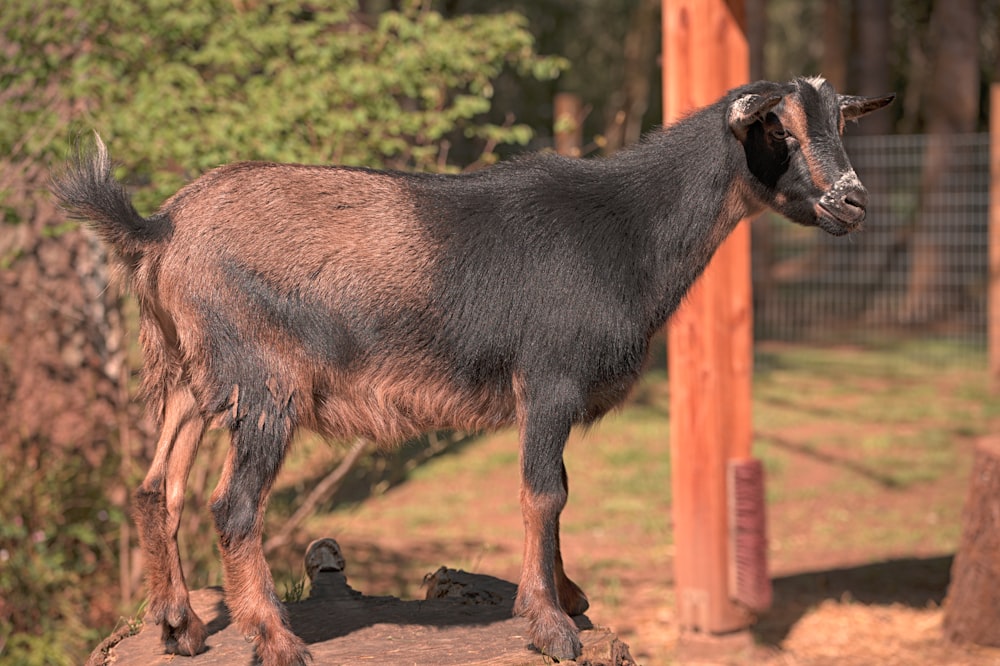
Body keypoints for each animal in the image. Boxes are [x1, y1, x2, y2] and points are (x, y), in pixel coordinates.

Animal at [52, 79, 892, 664]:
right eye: (777, 127)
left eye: (841, 122)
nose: (852, 203)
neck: (627, 226)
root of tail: (159, 229)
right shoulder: (549, 377)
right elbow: (543, 493)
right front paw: (550, 625)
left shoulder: (548, 393)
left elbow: (558, 491)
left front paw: (569, 597)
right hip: (265, 383)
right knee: (232, 504)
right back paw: (275, 639)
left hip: (194, 375)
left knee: (156, 487)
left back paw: (180, 626)